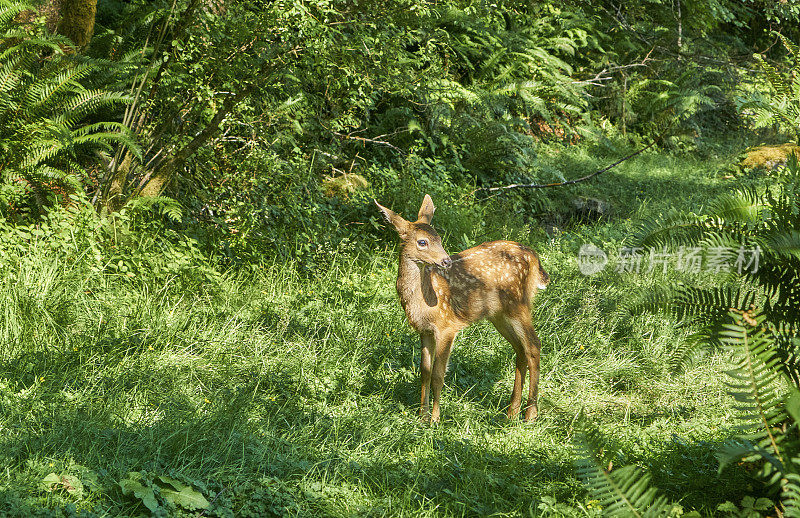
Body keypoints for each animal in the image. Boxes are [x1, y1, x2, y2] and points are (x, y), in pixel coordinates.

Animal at [376, 193, 552, 424]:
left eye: (440, 239)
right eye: (422, 242)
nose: (446, 260)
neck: (422, 300)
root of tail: (534, 258)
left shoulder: (446, 326)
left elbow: (438, 374)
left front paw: (435, 419)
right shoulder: (424, 330)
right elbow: (424, 371)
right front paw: (422, 416)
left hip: (518, 304)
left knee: (533, 345)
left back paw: (530, 414)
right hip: (499, 314)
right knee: (520, 349)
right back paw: (511, 412)